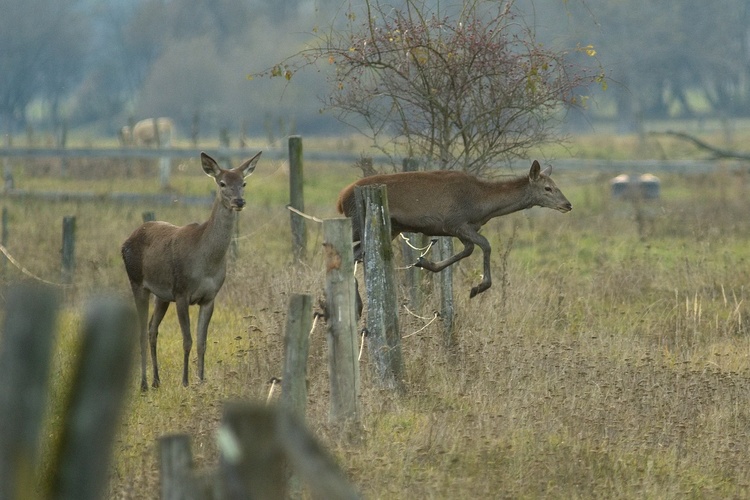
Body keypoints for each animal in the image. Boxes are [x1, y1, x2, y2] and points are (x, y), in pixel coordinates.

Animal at [122, 150, 262, 388]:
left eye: (243, 183)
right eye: (222, 183)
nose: (239, 201)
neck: (206, 263)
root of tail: (127, 240)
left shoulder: (209, 297)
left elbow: (201, 342)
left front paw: (202, 381)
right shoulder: (181, 292)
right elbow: (187, 340)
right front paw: (186, 381)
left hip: (162, 295)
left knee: (152, 328)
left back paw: (156, 381)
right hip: (137, 281)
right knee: (141, 331)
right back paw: (143, 384)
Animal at [338, 162, 572, 298]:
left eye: (556, 185)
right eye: (547, 188)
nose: (568, 204)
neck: (481, 206)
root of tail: (341, 199)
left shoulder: (459, 229)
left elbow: (468, 250)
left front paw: (424, 262)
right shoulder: (455, 222)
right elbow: (485, 245)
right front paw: (479, 287)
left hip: (390, 228)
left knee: (357, 253)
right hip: (357, 220)